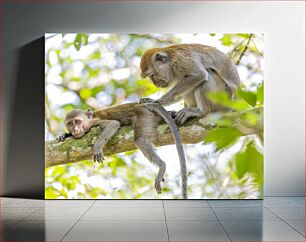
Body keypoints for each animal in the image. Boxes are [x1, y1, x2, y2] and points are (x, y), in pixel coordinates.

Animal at [56, 102, 188, 199]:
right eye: (70, 124)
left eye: (77, 122)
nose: (75, 129)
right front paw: (64, 135)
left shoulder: (94, 123)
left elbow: (113, 124)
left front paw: (97, 146)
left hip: (143, 115)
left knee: (140, 139)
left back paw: (161, 166)